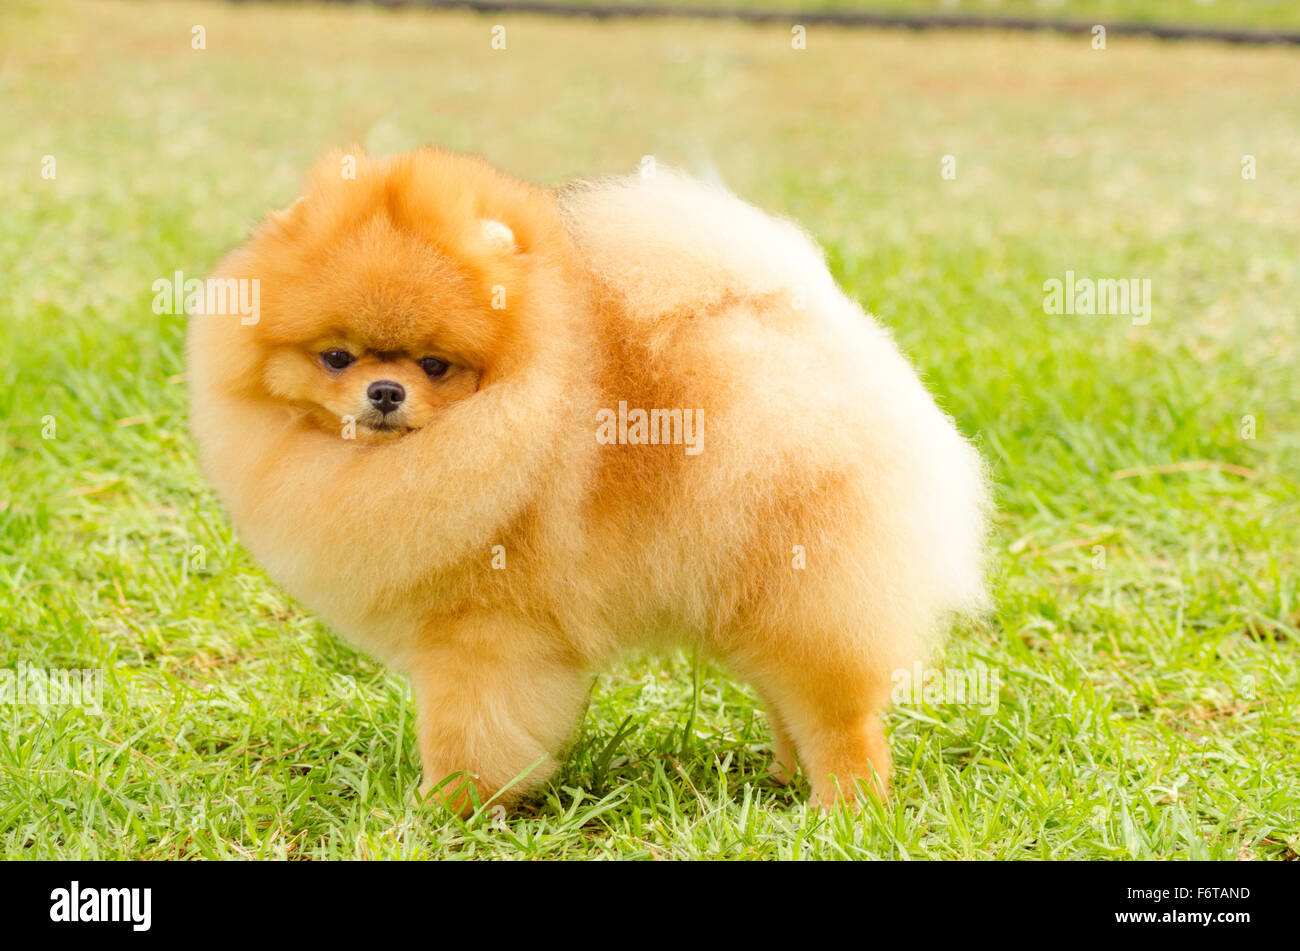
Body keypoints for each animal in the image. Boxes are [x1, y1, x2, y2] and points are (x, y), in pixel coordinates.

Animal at [188, 146, 987, 810]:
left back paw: (846, 806)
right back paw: (789, 778)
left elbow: (465, 735)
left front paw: (441, 810)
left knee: (839, 713)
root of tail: (826, 328)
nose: (385, 392)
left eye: (436, 365)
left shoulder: (482, 637)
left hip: (804, 586)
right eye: (337, 357)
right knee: (785, 695)